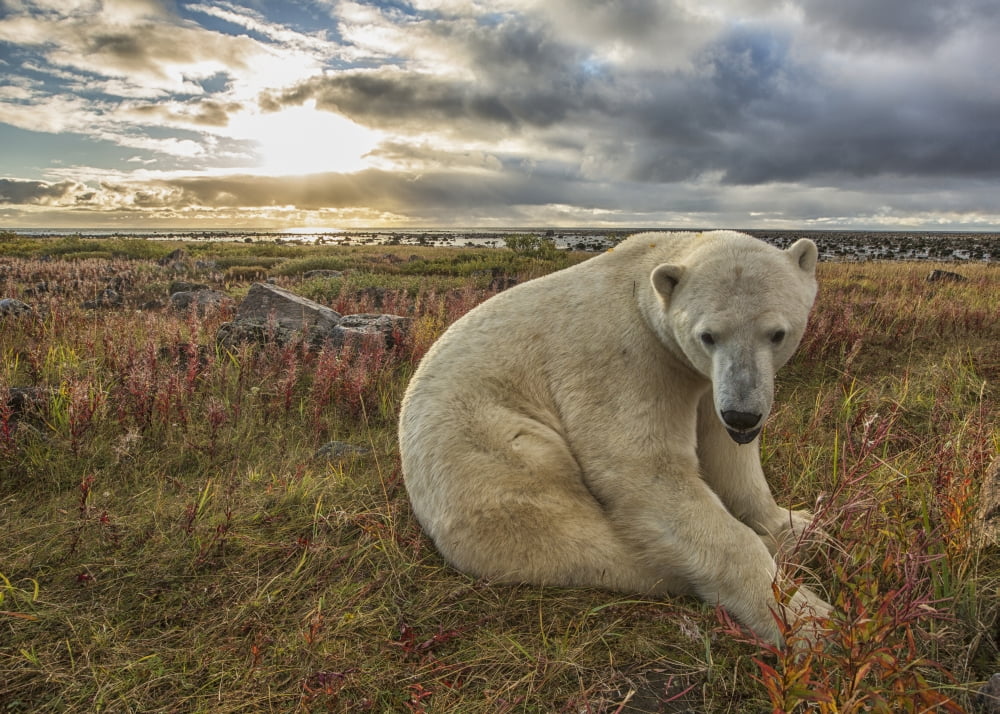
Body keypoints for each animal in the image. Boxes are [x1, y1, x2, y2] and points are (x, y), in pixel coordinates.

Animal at [398, 230, 832, 646]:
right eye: (708, 335)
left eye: (777, 334)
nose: (742, 415)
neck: (642, 282)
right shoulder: (627, 358)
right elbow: (645, 472)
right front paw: (808, 620)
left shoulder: (709, 383)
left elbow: (727, 455)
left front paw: (798, 525)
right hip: (485, 447)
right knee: (567, 530)